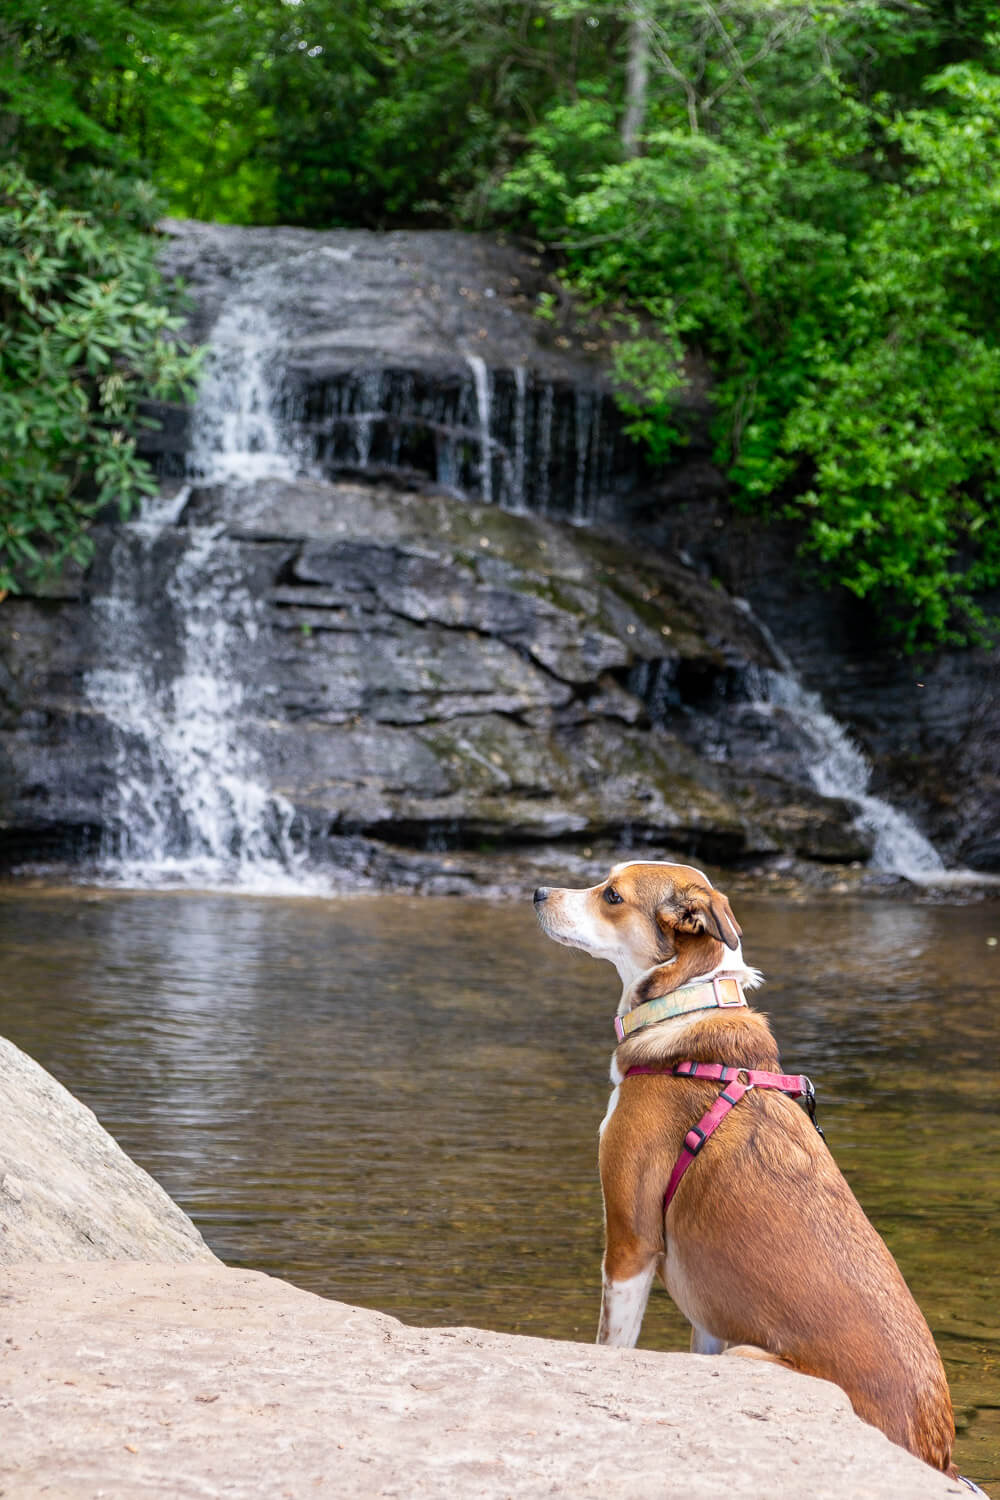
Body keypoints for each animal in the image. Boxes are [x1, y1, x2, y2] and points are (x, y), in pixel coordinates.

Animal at [536, 864, 959, 1470]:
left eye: (612, 895)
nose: (536, 893)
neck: (687, 1003)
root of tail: (935, 1449)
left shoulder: (631, 1243)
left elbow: (611, 1343)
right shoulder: (708, 1319)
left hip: (746, 1355)